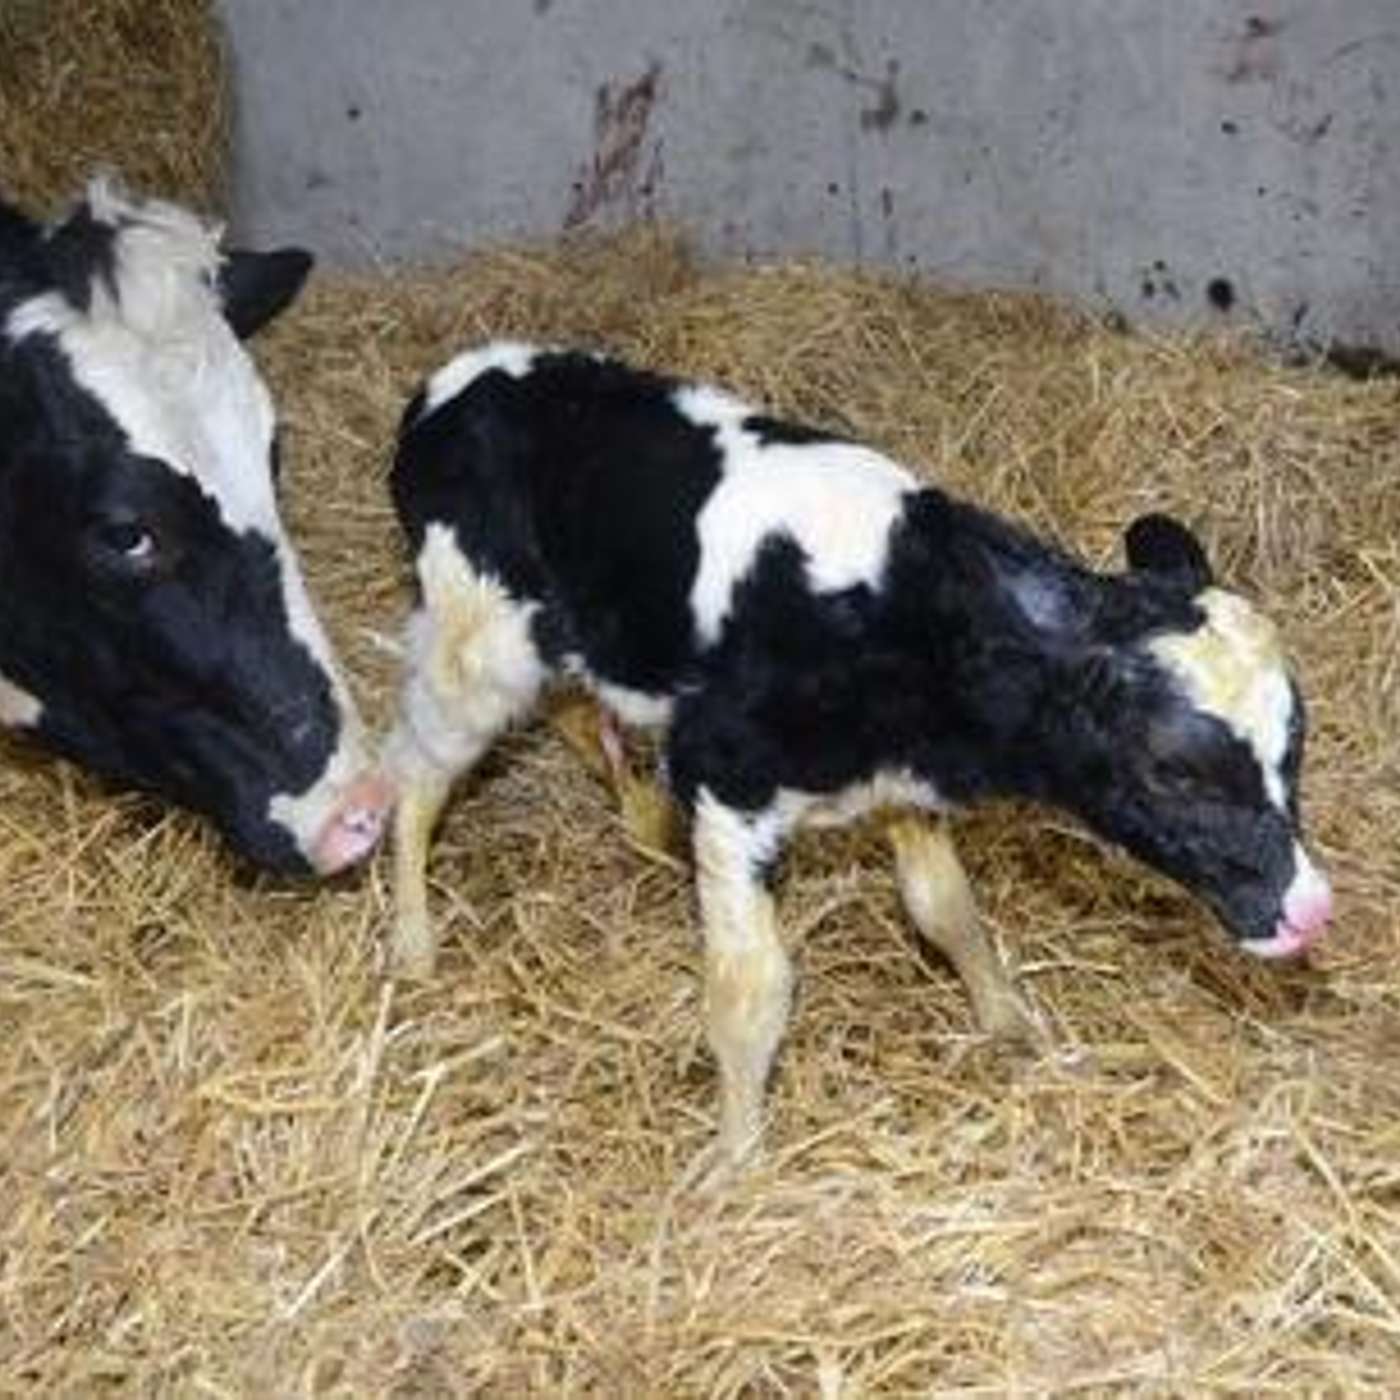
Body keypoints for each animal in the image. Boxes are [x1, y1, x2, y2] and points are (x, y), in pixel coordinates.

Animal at [381, 341, 1333, 1166]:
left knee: (578, 711)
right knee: (416, 773)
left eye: (1294, 751)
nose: (1311, 910)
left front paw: (1010, 1025)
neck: (896, 618)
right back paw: (414, 946)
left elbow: (947, 910)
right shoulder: (726, 777)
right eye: (1174, 769)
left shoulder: (898, 783)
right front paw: (734, 1164)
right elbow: (751, 992)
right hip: (477, 645)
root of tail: (452, 385)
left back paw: (645, 822)